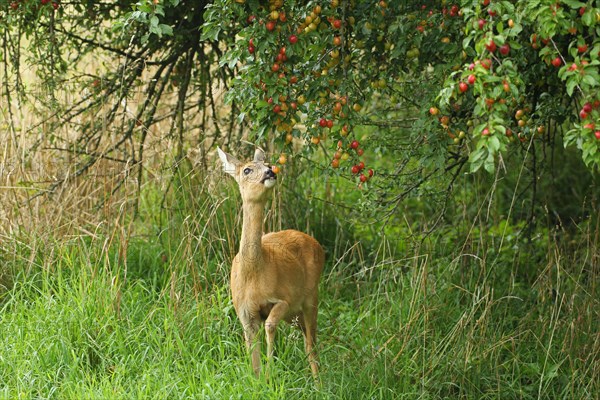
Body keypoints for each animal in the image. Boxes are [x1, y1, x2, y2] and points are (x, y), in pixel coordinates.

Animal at [218, 146, 326, 378]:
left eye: (267, 164)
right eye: (247, 170)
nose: (270, 172)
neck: (253, 273)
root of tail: (315, 242)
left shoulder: (284, 299)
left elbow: (269, 325)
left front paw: (270, 372)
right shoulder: (244, 312)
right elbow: (252, 356)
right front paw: (259, 378)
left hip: (311, 295)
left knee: (311, 342)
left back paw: (318, 380)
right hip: (295, 313)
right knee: (307, 336)